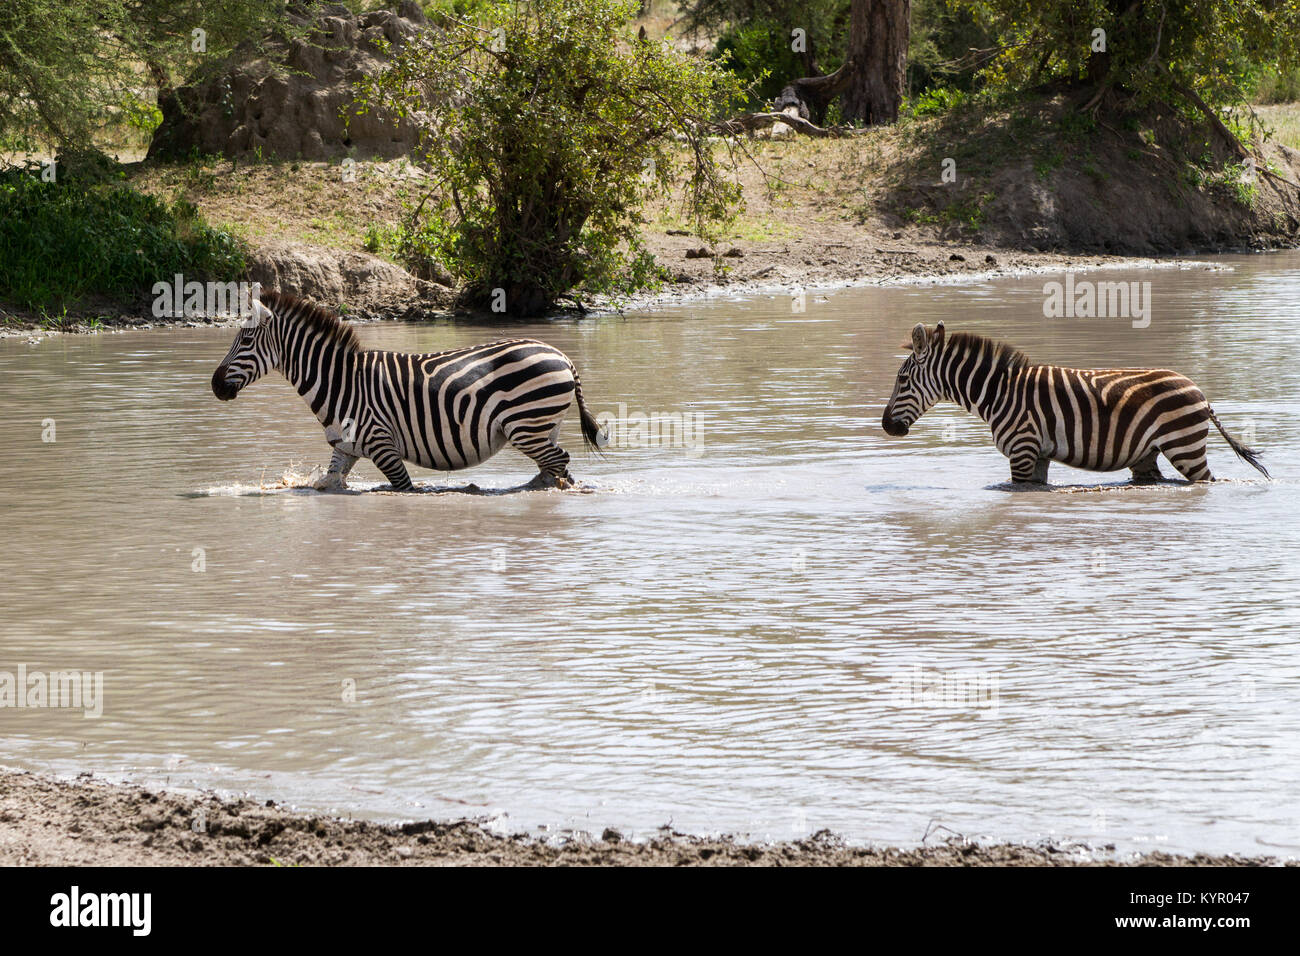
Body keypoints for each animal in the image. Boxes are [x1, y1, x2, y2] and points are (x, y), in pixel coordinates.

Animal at [209, 291, 608, 494]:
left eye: (246, 340)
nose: (214, 385)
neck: (341, 382)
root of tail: (562, 356)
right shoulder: (344, 449)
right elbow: (328, 482)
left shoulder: (384, 446)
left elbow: (404, 488)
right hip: (541, 427)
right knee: (553, 466)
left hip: (526, 426)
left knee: (560, 463)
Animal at [878, 321, 1263, 486]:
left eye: (902, 380)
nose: (886, 426)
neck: (998, 392)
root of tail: (1200, 392)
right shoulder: (1037, 455)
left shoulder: (1022, 450)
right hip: (1147, 455)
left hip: (1185, 448)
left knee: (1206, 480)